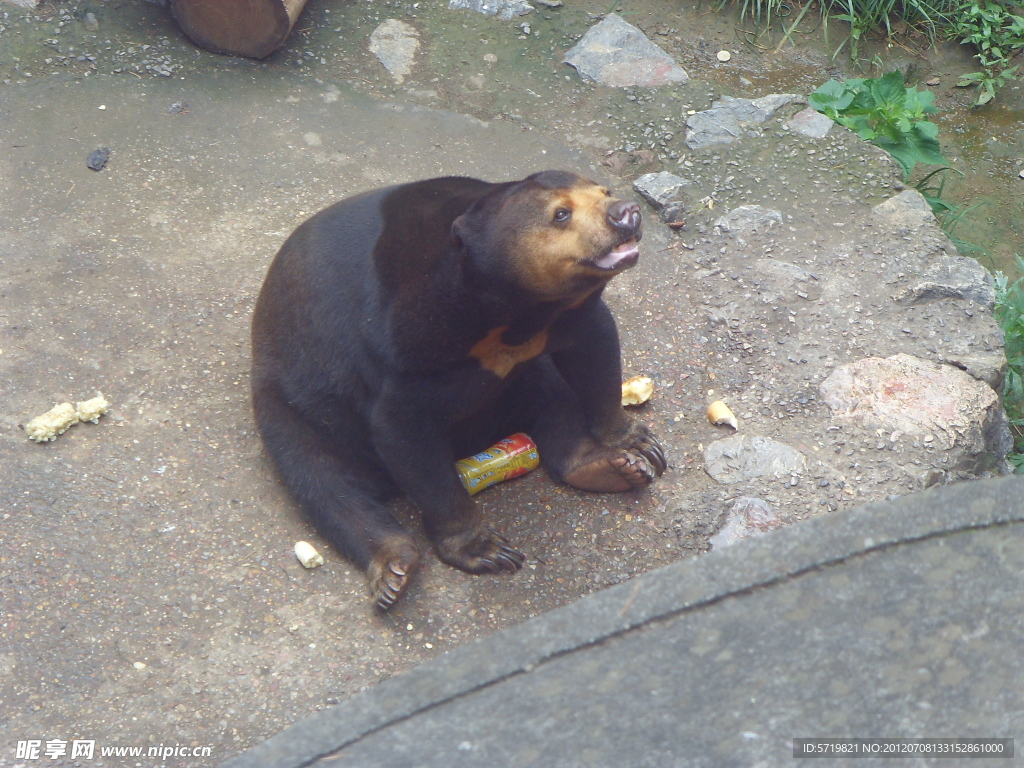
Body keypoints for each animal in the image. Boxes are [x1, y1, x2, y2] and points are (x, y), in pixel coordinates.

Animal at [247, 171, 663, 610]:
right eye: (561, 214)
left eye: (604, 191)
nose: (626, 213)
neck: (513, 314)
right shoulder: (405, 346)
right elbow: (405, 434)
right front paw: (484, 549)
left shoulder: (569, 313)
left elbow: (597, 351)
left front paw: (638, 444)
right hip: (292, 407)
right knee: (324, 484)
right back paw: (393, 566)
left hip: (525, 379)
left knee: (554, 401)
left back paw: (611, 468)